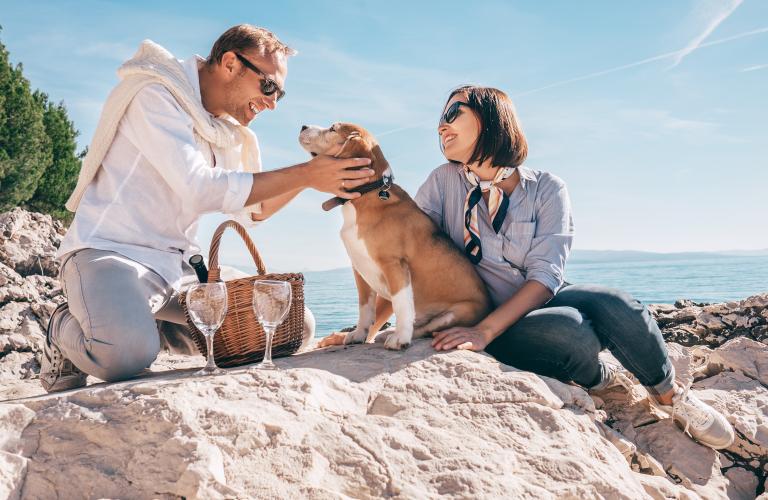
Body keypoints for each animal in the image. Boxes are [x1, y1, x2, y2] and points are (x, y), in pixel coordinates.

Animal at [296, 123, 488, 350]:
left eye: (333, 129)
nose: (303, 126)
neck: (366, 195)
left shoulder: (394, 265)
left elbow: (401, 305)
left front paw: (400, 338)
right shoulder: (359, 269)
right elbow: (365, 308)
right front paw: (358, 334)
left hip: (458, 312)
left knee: (427, 329)